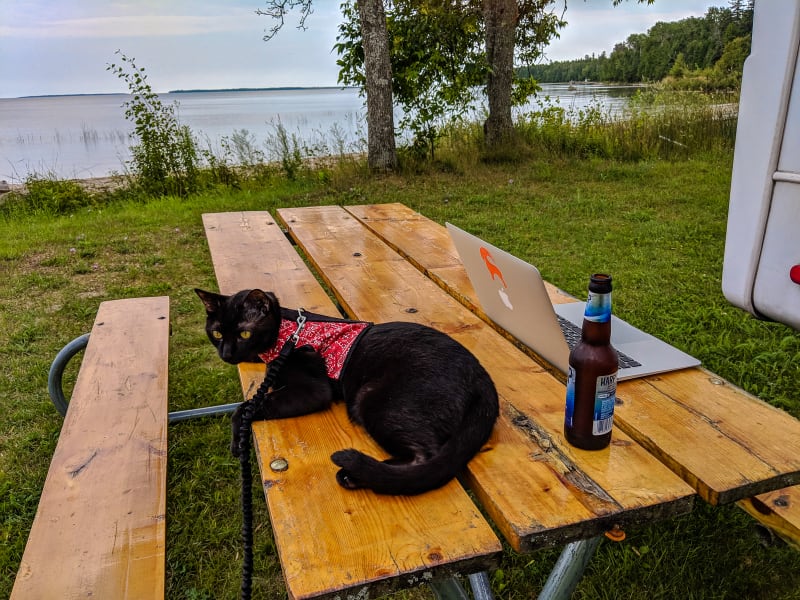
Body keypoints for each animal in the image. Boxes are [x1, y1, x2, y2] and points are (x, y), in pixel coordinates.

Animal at [197, 288, 496, 494]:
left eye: (244, 334)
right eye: (217, 333)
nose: (227, 354)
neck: (288, 331)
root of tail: (482, 379)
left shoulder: (313, 390)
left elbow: (245, 408)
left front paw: (237, 441)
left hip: (373, 400)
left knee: (425, 455)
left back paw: (354, 475)